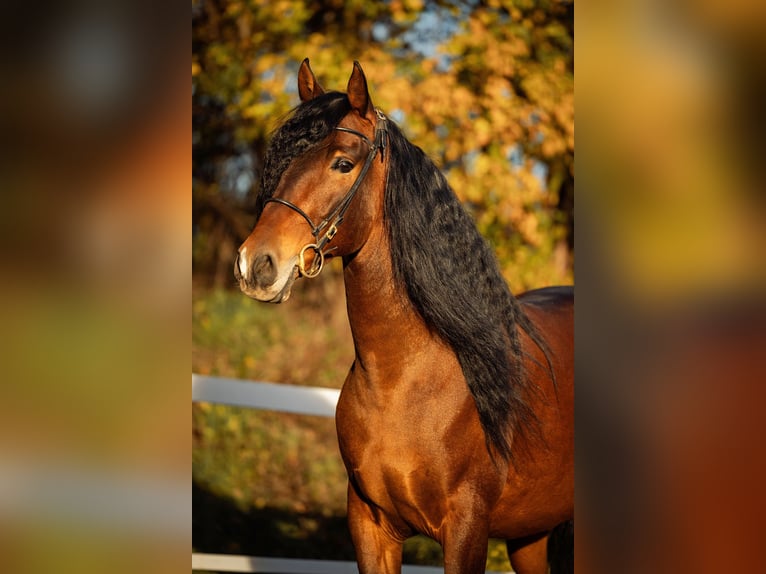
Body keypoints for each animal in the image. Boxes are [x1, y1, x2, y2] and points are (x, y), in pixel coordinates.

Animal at [235, 58, 573, 574]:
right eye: (281, 160)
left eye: (343, 163)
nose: (256, 264)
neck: (404, 380)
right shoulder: (371, 529)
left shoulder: (466, 532)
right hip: (530, 535)